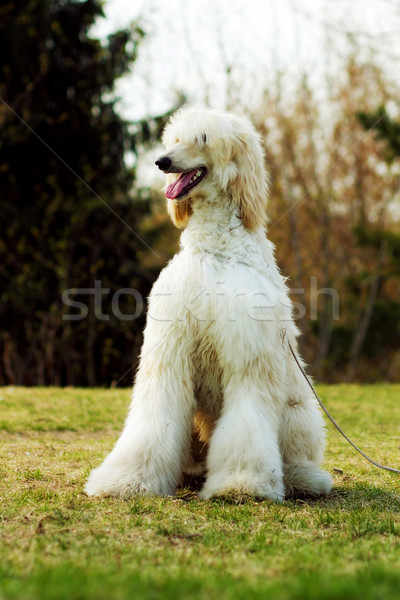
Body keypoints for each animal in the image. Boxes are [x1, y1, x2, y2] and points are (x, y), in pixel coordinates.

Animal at [86, 105, 332, 500]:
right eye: (174, 138)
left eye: (203, 138)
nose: (162, 161)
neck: (216, 253)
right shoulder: (169, 352)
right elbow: (154, 418)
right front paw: (126, 480)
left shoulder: (249, 355)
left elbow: (246, 422)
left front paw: (242, 482)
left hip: (299, 407)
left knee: (299, 453)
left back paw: (306, 478)